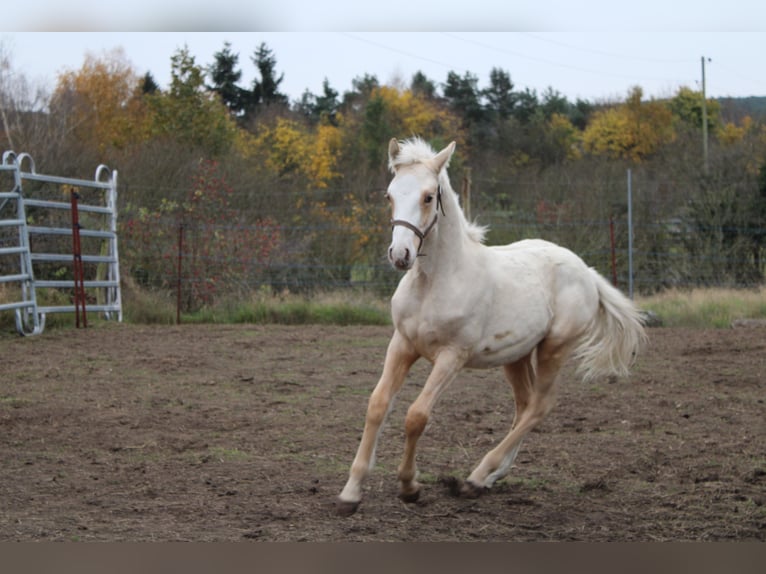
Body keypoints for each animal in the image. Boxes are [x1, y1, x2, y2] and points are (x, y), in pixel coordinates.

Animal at [336, 138, 648, 516]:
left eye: (429, 196)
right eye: (389, 195)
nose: (400, 255)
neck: (435, 282)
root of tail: (586, 271)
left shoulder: (452, 356)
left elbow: (417, 415)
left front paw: (410, 486)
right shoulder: (402, 345)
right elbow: (378, 405)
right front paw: (350, 493)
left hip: (554, 348)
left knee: (540, 406)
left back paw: (475, 477)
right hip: (516, 356)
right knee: (524, 405)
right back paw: (489, 477)